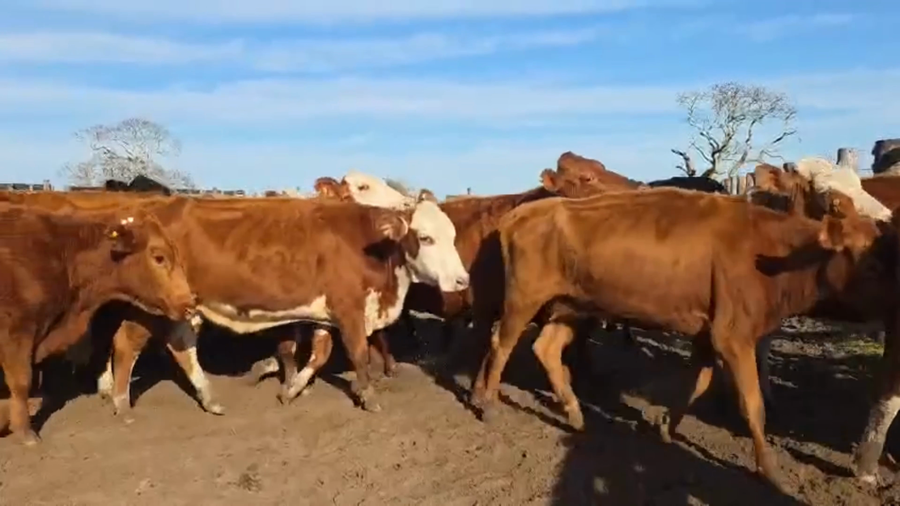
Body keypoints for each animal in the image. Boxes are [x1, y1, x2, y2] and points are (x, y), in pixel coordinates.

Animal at [468, 182, 890, 492]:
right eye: (872, 262)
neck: (771, 252)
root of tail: (519, 213)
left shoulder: (708, 335)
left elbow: (697, 384)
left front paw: (665, 429)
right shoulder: (733, 337)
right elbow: (753, 405)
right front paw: (769, 472)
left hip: (571, 306)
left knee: (546, 348)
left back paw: (574, 414)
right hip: (523, 299)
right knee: (501, 344)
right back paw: (488, 404)